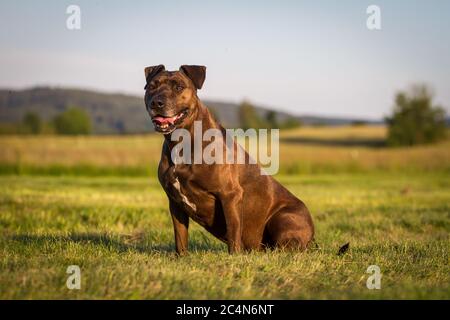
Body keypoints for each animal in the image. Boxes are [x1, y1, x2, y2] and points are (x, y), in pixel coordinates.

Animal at [144, 65, 312, 255]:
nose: (157, 102)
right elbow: (180, 237)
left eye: (178, 87)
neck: (182, 142)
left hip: (283, 217)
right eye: (152, 86)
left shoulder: (230, 194)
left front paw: (234, 256)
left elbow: (233, 231)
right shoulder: (175, 203)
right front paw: (181, 257)